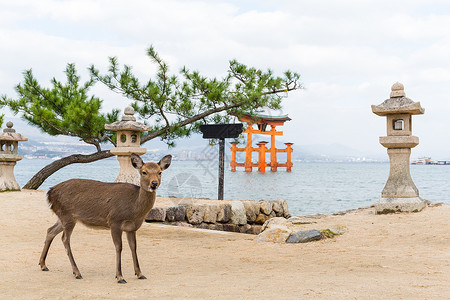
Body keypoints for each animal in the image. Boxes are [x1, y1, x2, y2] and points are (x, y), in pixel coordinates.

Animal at [37, 154, 171, 282]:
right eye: (144, 172)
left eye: (160, 172)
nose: (154, 184)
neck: (134, 209)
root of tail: (50, 193)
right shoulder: (114, 221)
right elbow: (119, 247)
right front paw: (120, 277)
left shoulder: (131, 228)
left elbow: (133, 247)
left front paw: (140, 274)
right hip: (67, 215)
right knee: (65, 239)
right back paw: (77, 272)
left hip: (63, 217)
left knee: (50, 230)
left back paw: (43, 265)